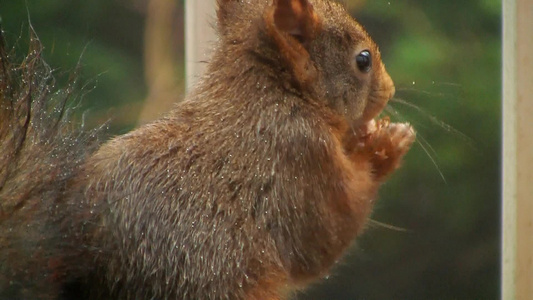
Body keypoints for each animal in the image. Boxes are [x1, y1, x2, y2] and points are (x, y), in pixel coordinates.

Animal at [0, 0, 416, 298]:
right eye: (363, 60)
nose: (391, 89)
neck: (271, 91)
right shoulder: (298, 158)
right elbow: (326, 234)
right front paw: (384, 147)